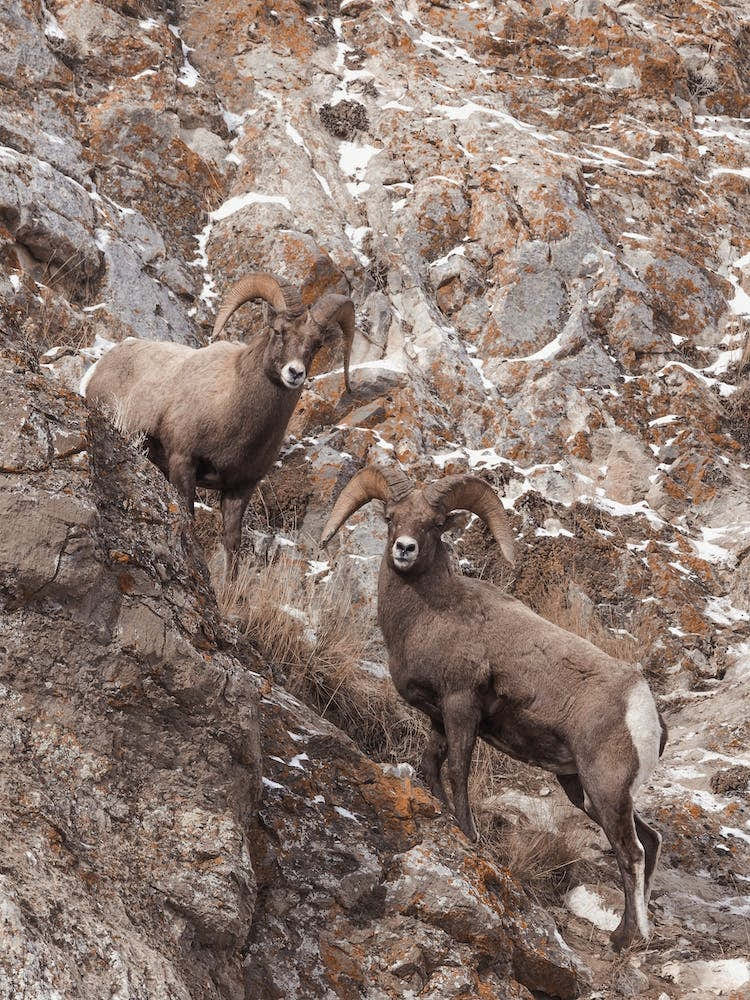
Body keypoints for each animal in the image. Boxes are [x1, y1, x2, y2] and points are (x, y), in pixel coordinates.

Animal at [85, 271, 355, 569]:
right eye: (278, 331)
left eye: (317, 344)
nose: (295, 373)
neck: (231, 409)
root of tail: (100, 366)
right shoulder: (183, 463)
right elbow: (189, 520)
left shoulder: (240, 488)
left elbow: (232, 546)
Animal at [321, 466, 667, 951]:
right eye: (390, 518)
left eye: (435, 525)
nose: (403, 549)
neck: (431, 615)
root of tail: (643, 705)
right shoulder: (438, 717)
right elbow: (430, 766)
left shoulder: (461, 706)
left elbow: (458, 771)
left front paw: (469, 835)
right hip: (587, 792)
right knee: (648, 843)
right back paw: (626, 932)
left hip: (606, 789)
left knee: (631, 853)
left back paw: (628, 939)